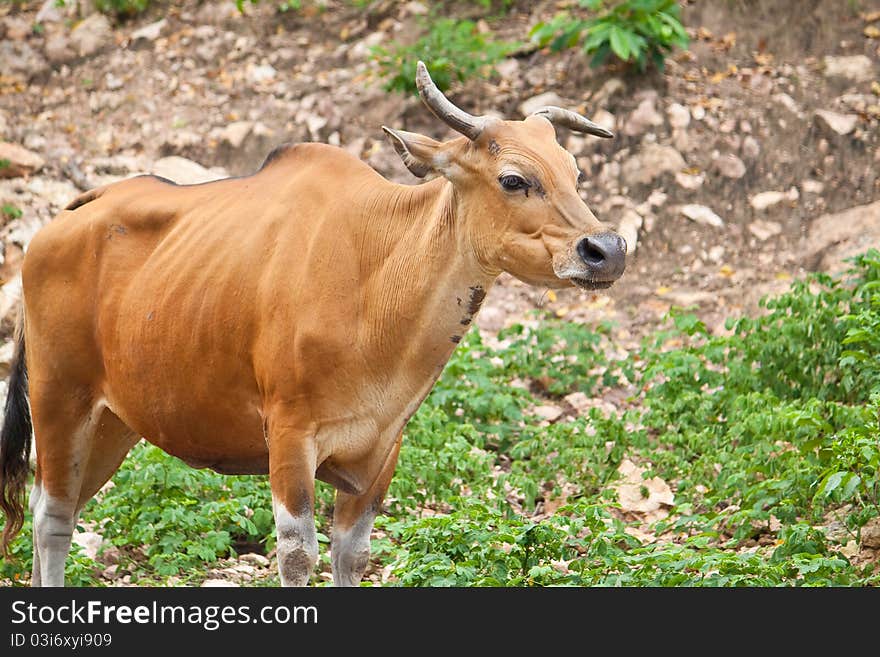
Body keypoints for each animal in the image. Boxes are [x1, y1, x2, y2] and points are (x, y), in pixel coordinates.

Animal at [0, 62, 624, 584]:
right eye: (514, 179)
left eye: (574, 172)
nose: (607, 250)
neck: (374, 284)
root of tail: (62, 222)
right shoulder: (289, 436)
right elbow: (298, 556)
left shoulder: (381, 451)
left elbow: (353, 555)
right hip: (58, 400)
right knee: (52, 518)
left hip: (114, 424)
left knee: (59, 510)